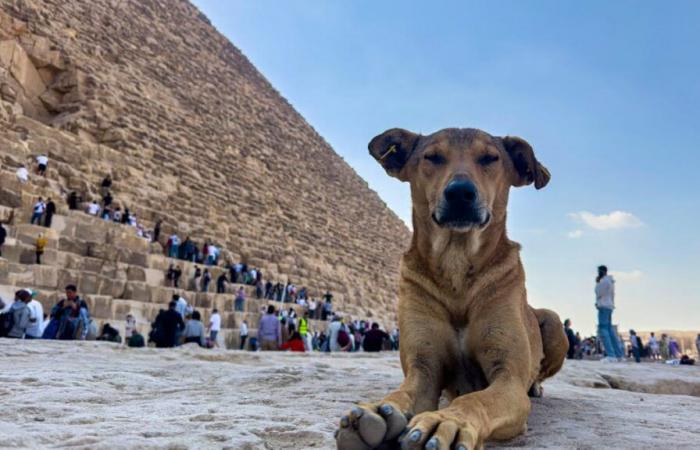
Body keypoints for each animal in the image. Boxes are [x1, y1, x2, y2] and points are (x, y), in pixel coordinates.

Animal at [334, 127, 568, 450]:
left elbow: (476, 399)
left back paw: (535, 386)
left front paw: (447, 421)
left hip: (554, 322)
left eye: (490, 158)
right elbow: (403, 392)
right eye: (432, 157)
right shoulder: (424, 369)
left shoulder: (508, 377)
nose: (460, 192)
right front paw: (378, 412)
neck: (457, 266)